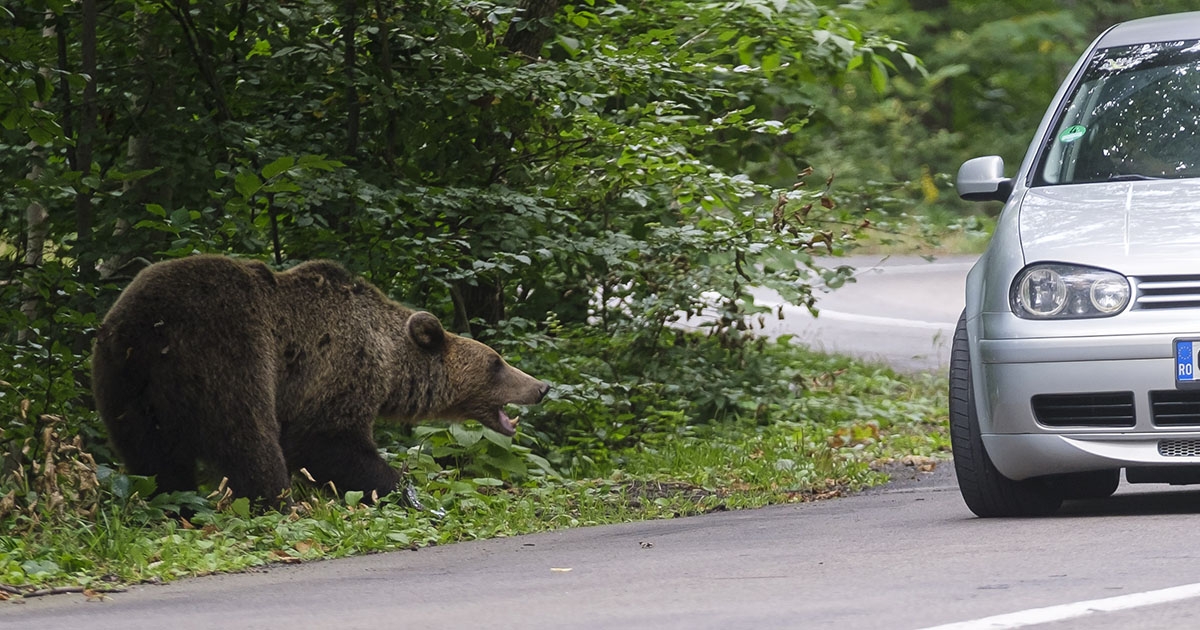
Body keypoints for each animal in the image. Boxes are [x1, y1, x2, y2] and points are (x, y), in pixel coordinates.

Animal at [91, 253, 549, 504]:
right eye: (497, 362)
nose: (541, 387)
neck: (390, 363)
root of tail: (146, 327)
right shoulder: (338, 368)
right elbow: (325, 441)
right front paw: (401, 490)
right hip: (229, 354)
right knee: (248, 437)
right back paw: (277, 502)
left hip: (125, 382)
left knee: (153, 456)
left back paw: (176, 502)